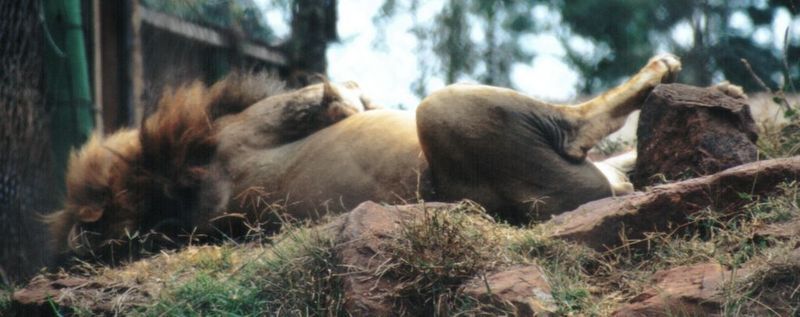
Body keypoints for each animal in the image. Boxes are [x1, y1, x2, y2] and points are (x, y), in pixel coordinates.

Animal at [43, 52, 680, 260]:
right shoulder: (264, 122)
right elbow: (335, 93)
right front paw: (346, 96)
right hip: (443, 107)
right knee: (579, 126)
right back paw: (656, 72)